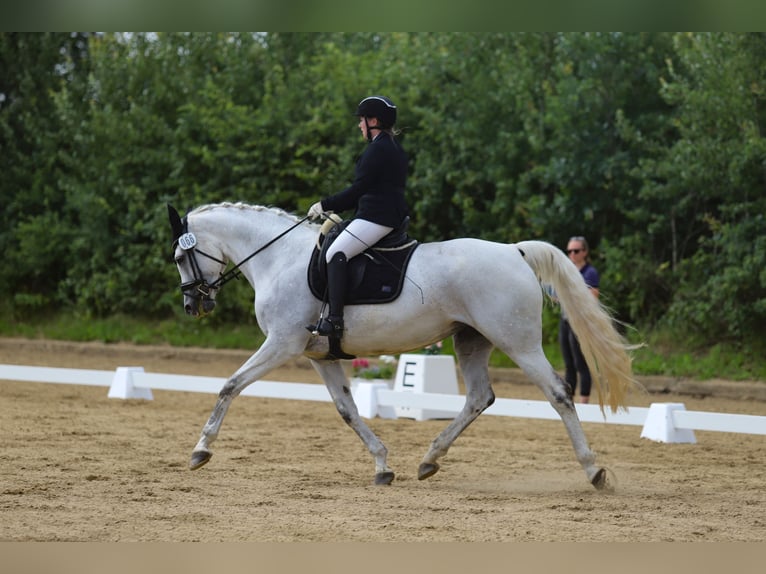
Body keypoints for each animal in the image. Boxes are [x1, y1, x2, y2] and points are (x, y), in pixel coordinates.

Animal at [170, 202, 640, 490]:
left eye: (178, 257)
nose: (194, 305)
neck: (278, 258)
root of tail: (514, 251)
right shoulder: (318, 355)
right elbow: (347, 409)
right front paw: (383, 465)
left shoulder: (282, 345)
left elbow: (230, 385)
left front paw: (200, 451)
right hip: (472, 340)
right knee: (479, 397)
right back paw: (429, 459)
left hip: (517, 341)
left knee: (559, 394)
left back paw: (594, 471)